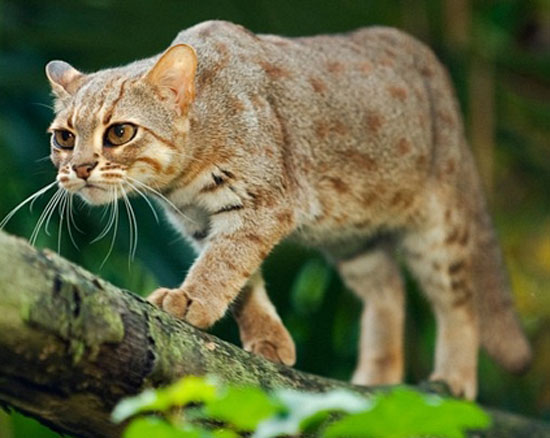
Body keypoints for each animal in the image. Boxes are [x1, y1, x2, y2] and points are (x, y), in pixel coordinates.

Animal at [43, 20, 532, 400]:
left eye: (120, 132)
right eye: (63, 137)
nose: (79, 168)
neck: (182, 182)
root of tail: (436, 71)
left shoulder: (263, 203)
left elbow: (224, 263)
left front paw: (191, 298)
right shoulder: (201, 223)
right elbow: (243, 281)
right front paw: (267, 336)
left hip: (437, 229)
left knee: (459, 300)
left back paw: (455, 376)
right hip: (352, 236)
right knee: (389, 289)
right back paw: (378, 374)